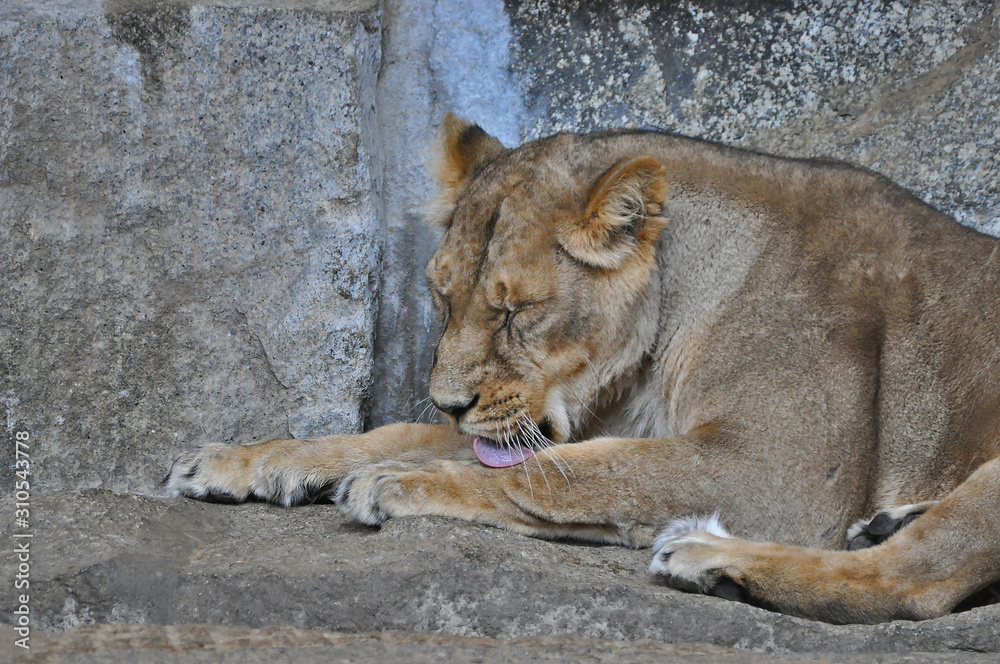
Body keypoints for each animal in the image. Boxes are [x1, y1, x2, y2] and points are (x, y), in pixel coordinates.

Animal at [167, 113, 1000, 624]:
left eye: (514, 311)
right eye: (441, 296)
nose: (449, 402)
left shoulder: (779, 470)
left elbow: (574, 475)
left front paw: (402, 481)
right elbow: (400, 433)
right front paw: (250, 459)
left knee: (912, 580)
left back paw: (706, 556)